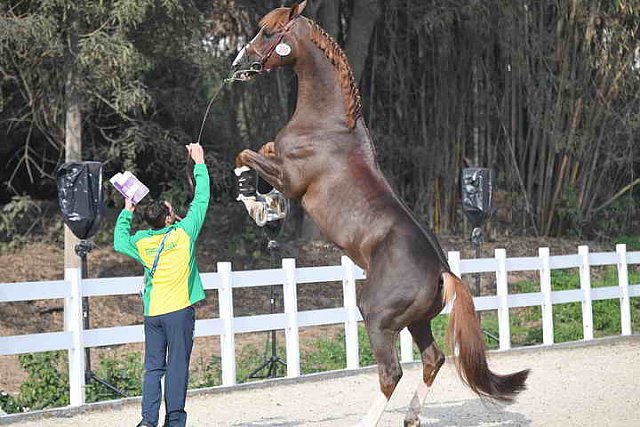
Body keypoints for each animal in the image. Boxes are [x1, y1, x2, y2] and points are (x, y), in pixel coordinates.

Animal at [232, 2, 528, 424]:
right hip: (417, 321)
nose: (240, 63)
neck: (326, 124)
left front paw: (255, 199)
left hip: (376, 317)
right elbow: (261, 147)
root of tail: (443, 273)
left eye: (270, 32)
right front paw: (265, 203)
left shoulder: (291, 179)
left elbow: (246, 154)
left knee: (392, 372)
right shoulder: (279, 159)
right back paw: (411, 416)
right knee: (433, 359)